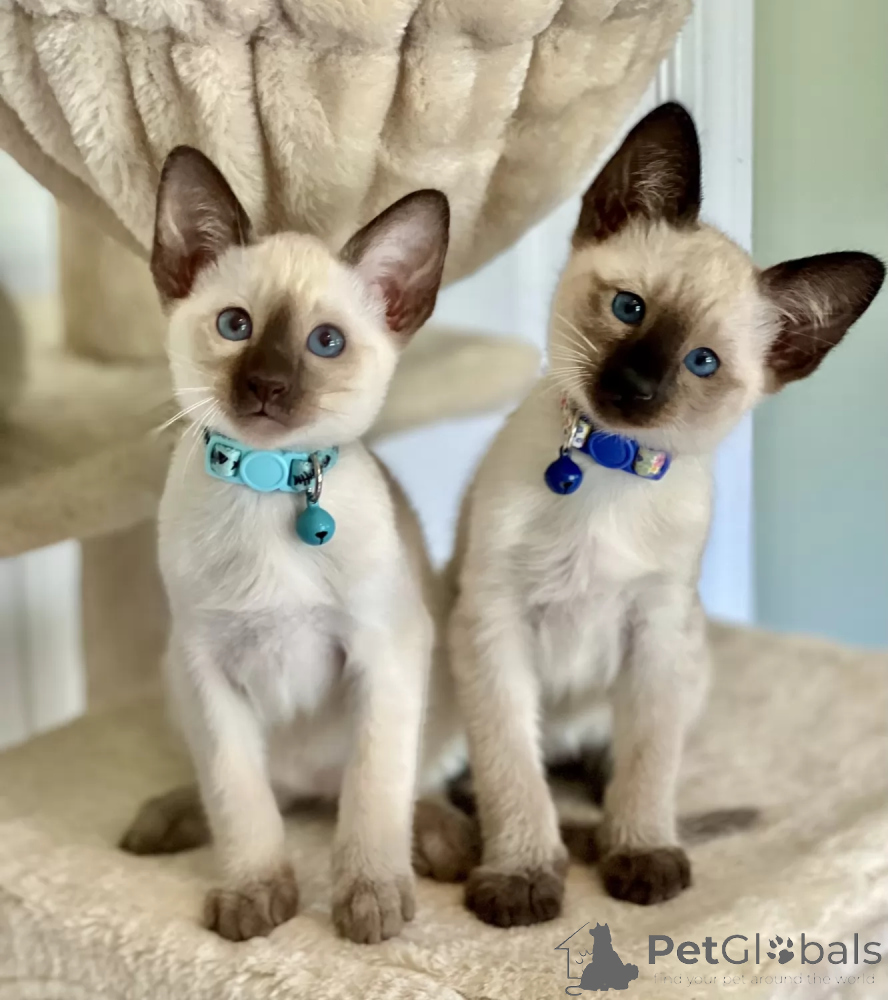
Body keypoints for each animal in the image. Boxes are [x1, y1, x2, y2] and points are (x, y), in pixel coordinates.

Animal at [123, 145, 471, 944]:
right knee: (260, 792)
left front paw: (370, 901)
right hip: (173, 676)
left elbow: (374, 791)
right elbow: (238, 796)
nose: (267, 385)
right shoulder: (206, 667)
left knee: (398, 782)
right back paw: (166, 820)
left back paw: (441, 840)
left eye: (326, 343)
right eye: (235, 325)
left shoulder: (383, 652)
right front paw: (254, 895)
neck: (263, 481)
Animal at [446, 102, 885, 926]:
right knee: (518, 771)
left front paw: (641, 856)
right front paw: (522, 877)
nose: (636, 387)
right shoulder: (494, 625)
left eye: (702, 363)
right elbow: (512, 771)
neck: (609, 466)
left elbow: (650, 765)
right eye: (629, 309)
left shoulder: (654, 630)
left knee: (614, 767)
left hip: (687, 655)